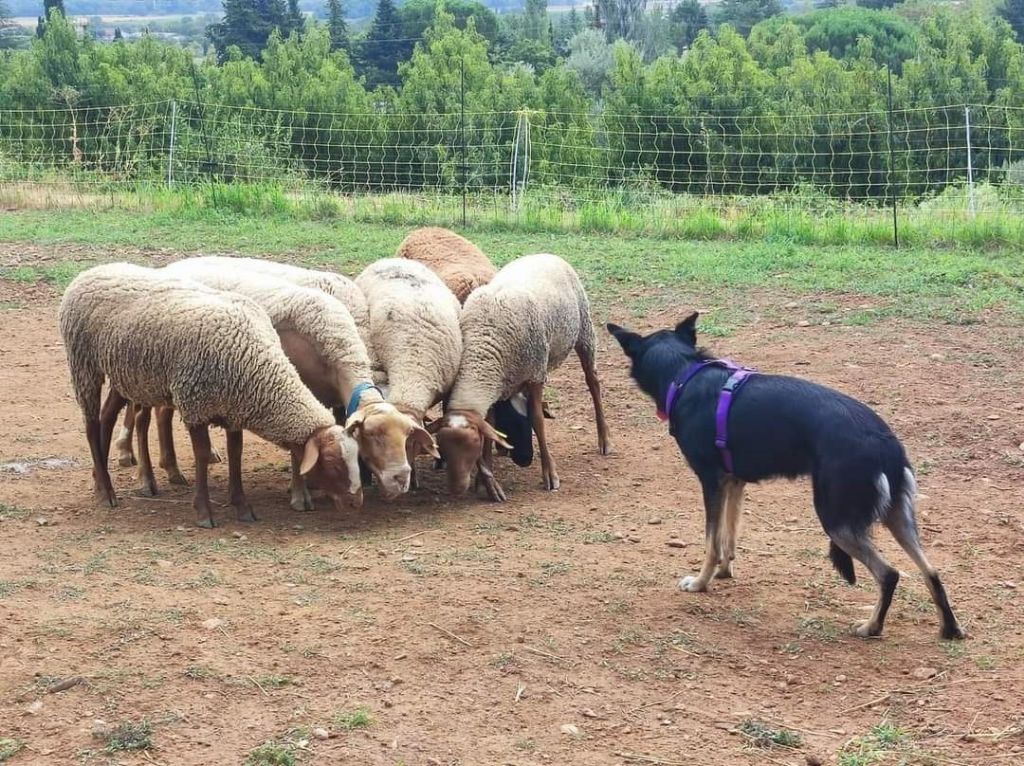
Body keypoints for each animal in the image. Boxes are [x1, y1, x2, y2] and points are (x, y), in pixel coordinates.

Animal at [58, 264, 364, 528]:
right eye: (333, 463)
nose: (357, 502)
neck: (256, 363)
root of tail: (92, 271)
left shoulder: (235, 408)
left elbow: (235, 454)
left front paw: (242, 506)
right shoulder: (194, 404)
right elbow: (203, 456)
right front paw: (204, 512)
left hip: (127, 374)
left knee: (108, 416)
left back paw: (103, 479)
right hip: (84, 363)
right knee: (92, 424)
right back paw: (107, 492)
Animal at [430, 253, 610, 499]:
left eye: (473, 446)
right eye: (444, 449)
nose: (456, 489)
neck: (484, 350)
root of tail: (544, 254)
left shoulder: (535, 375)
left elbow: (537, 419)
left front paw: (549, 474)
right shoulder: (498, 385)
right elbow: (491, 424)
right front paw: (484, 481)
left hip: (584, 330)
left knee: (593, 383)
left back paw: (604, 439)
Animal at [610, 313, 962, 639]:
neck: (683, 374)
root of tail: (885, 443)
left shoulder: (711, 482)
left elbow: (711, 541)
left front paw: (700, 582)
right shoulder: (734, 482)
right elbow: (728, 536)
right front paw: (725, 571)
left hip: (836, 519)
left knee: (889, 574)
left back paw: (871, 627)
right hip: (897, 518)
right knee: (931, 571)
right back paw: (949, 628)